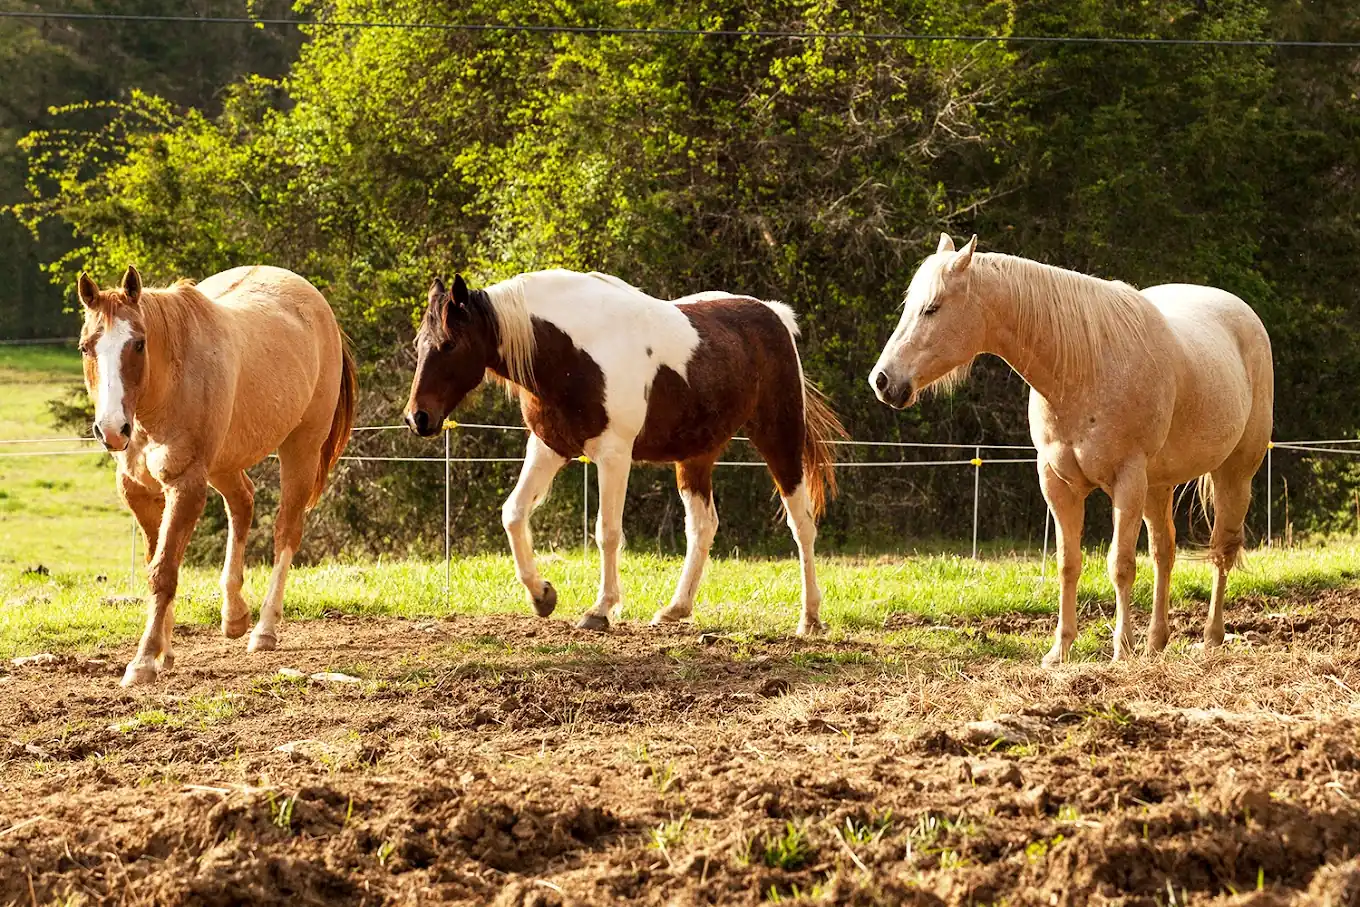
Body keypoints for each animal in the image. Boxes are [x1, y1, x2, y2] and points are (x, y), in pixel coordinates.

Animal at [76, 265, 357, 686]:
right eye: (85, 347)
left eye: (139, 344)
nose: (111, 430)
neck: (164, 392)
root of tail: (317, 304)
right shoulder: (138, 491)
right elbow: (156, 561)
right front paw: (165, 652)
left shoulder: (187, 485)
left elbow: (163, 571)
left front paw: (143, 660)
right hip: (225, 464)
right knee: (243, 503)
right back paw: (235, 615)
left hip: (300, 449)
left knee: (286, 531)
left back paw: (264, 629)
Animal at [404, 269, 845, 634]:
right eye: (420, 343)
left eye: (449, 344)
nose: (417, 418)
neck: (572, 351)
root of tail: (774, 316)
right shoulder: (548, 447)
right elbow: (513, 513)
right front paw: (542, 594)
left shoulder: (613, 455)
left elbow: (608, 531)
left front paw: (600, 610)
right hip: (695, 456)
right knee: (703, 526)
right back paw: (675, 609)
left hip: (780, 438)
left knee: (802, 524)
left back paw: (810, 618)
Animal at [869, 235, 1273, 664]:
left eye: (932, 308)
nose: (882, 380)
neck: (1084, 367)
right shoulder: (1057, 483)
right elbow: (1068, 563)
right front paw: (1060, 650)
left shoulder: (1127, 481)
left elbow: (1121, 565)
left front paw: (1120, 650)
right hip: (1158, 486)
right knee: (1164, 551)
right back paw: (1155, 641)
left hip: (1233, 473)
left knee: (1221, 550)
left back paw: (1211, 637)